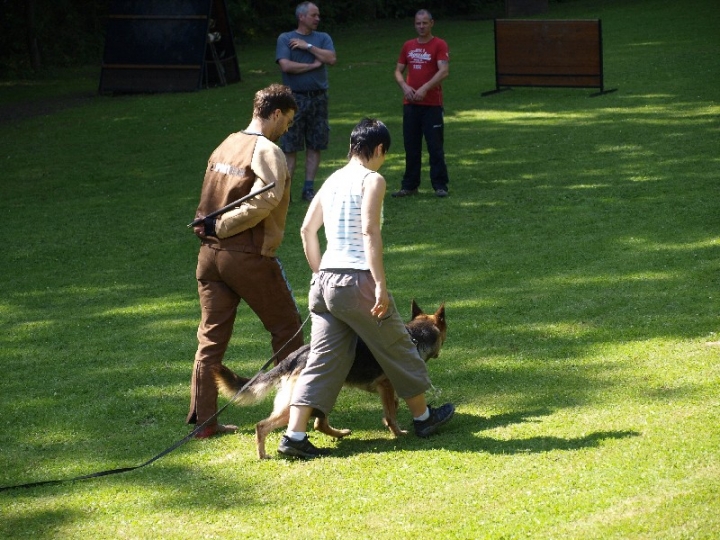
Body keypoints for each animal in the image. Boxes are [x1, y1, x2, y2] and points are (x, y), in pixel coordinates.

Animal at [217, 300, 448, 460]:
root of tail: (294, 356)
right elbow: (392, 413)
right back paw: (264, 454)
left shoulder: (386, 390)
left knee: (318, 423)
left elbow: (393, 407)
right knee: (263, 426)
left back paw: (339, 434)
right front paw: (398, 431)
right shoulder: (387, 385)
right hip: (301, 401)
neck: (415, 336)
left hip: (324, 392)